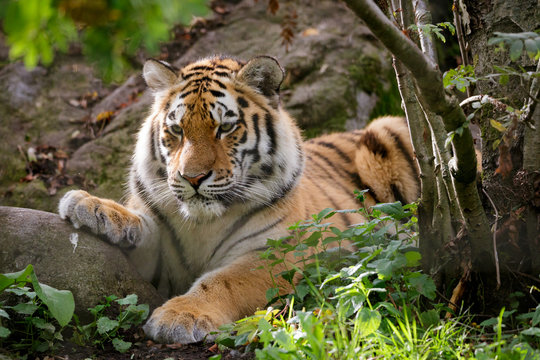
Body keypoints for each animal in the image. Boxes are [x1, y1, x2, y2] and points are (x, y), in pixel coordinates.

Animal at [58, 55, 418, 344]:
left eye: (224, 128)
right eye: (177, 130)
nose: (192, 177)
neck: (201, 224)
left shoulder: (275, 255)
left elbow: (224, 281)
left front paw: (179, 316)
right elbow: (141, 229)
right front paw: (90, 206)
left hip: (387, 130)